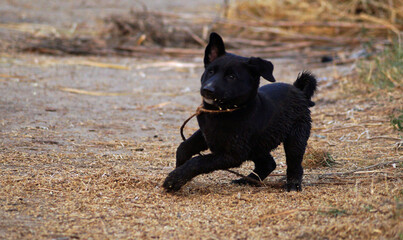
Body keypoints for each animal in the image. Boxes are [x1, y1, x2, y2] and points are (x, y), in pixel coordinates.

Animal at [163, 32, 318, 192]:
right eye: (210, 71)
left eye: (231, 76)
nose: (207, 89)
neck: (223, 112)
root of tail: (298, 90)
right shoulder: (206, 134)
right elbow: (184, 147)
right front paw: (178, 169)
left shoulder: (233, 154)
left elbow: (198, 161)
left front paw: (175, 179)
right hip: (258, 146)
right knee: (268, 163)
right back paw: (246, 181)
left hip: (296, 137)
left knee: (294, 163)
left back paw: (293, 184)